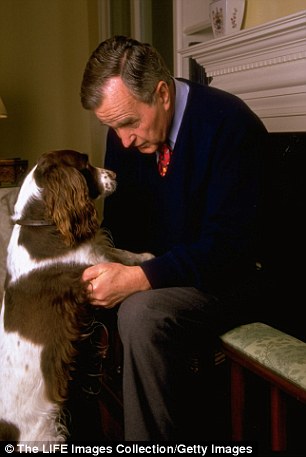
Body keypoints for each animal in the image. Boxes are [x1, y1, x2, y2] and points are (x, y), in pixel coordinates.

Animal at [0, 150, 153, 446]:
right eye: (85, 165)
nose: (114, 174)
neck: (47, 225)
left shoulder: (100, 254)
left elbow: (123, 254)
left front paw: (145, 256)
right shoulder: (90, 272)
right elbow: (124, 270)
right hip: (40, 435)